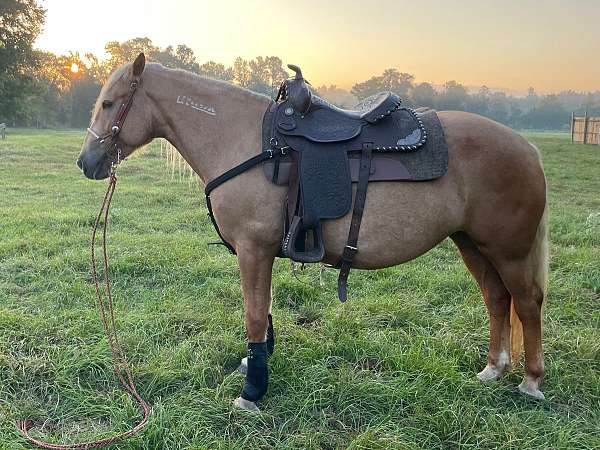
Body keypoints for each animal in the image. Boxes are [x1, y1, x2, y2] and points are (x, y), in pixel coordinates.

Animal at [78, 52, 548, 412]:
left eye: (110, 103)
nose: (86, 162)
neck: (246, 141)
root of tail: (527, 147)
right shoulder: (260, 252)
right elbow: (263, 310)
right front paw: (255, 367)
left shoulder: (253, 249)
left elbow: (253, 314)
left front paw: (252, 391)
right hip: (472, 244)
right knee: (496, 298)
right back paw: (493, 369)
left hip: (508, 250)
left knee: (526, 303)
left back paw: (531, 380)